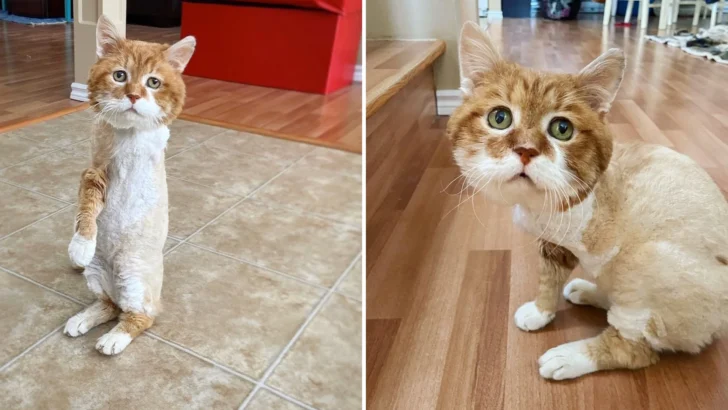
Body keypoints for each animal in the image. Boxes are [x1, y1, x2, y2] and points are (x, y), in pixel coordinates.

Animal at [64, 15, 195, 356]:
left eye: (153, 83)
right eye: (120, 76)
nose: (134, 96)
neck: (128, 136)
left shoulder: (149, 157)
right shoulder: (94, 172)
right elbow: (86, 209)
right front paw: (80, 246)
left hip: (134, 277)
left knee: (139, 316)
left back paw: (113, 339)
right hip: (97, 275)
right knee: (109, 305)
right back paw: (82, 320)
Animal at [446, 22, 728, 380]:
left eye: (562, 129)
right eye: (500, 118)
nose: (525, 150)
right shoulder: (553, 245)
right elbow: (548, 281)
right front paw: (541, 311)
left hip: (646, 265)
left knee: (634, 347)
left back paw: (570, 356)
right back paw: (588, 291)